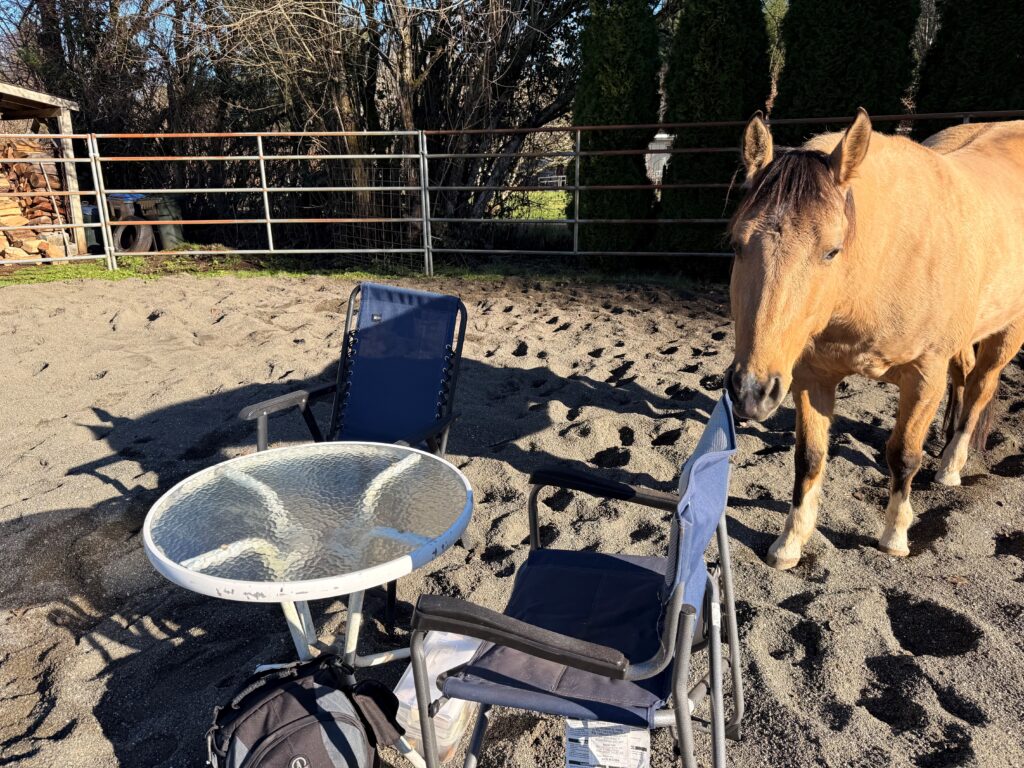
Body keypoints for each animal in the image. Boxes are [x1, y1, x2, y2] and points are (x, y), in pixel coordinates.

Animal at [726, 108, 1024, 570]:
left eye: (831, 251)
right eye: (737, 245)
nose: (751, 392)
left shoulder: (924, 375)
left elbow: (903, 455)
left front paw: (895, 536)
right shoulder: (812, 376)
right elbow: (809, 457)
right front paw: (790, 543)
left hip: (1007, 331)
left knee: (981, 387)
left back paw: (951, 465)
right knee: (966, 376)